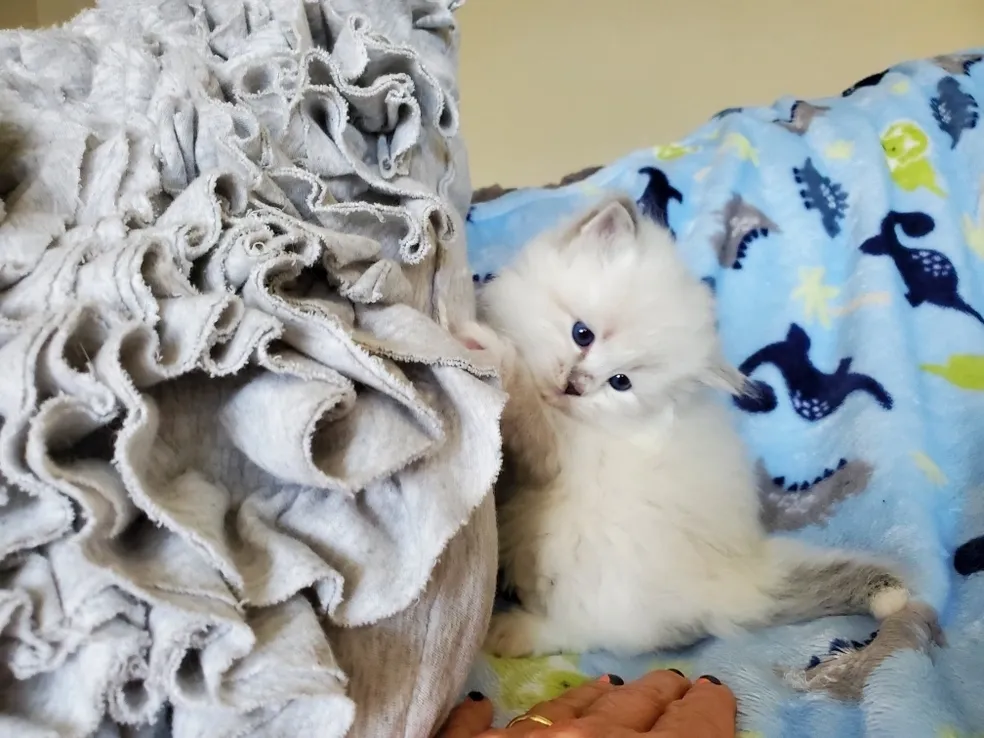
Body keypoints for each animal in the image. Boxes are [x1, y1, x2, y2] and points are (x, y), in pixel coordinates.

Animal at [456, 194, 910, 658]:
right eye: (582, 334)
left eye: (620, 382)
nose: (576, 386)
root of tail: (744, 579)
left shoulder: (557, 454)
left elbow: (525, 408)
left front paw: (493, 354)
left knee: (589, 631)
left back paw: (511, 631)